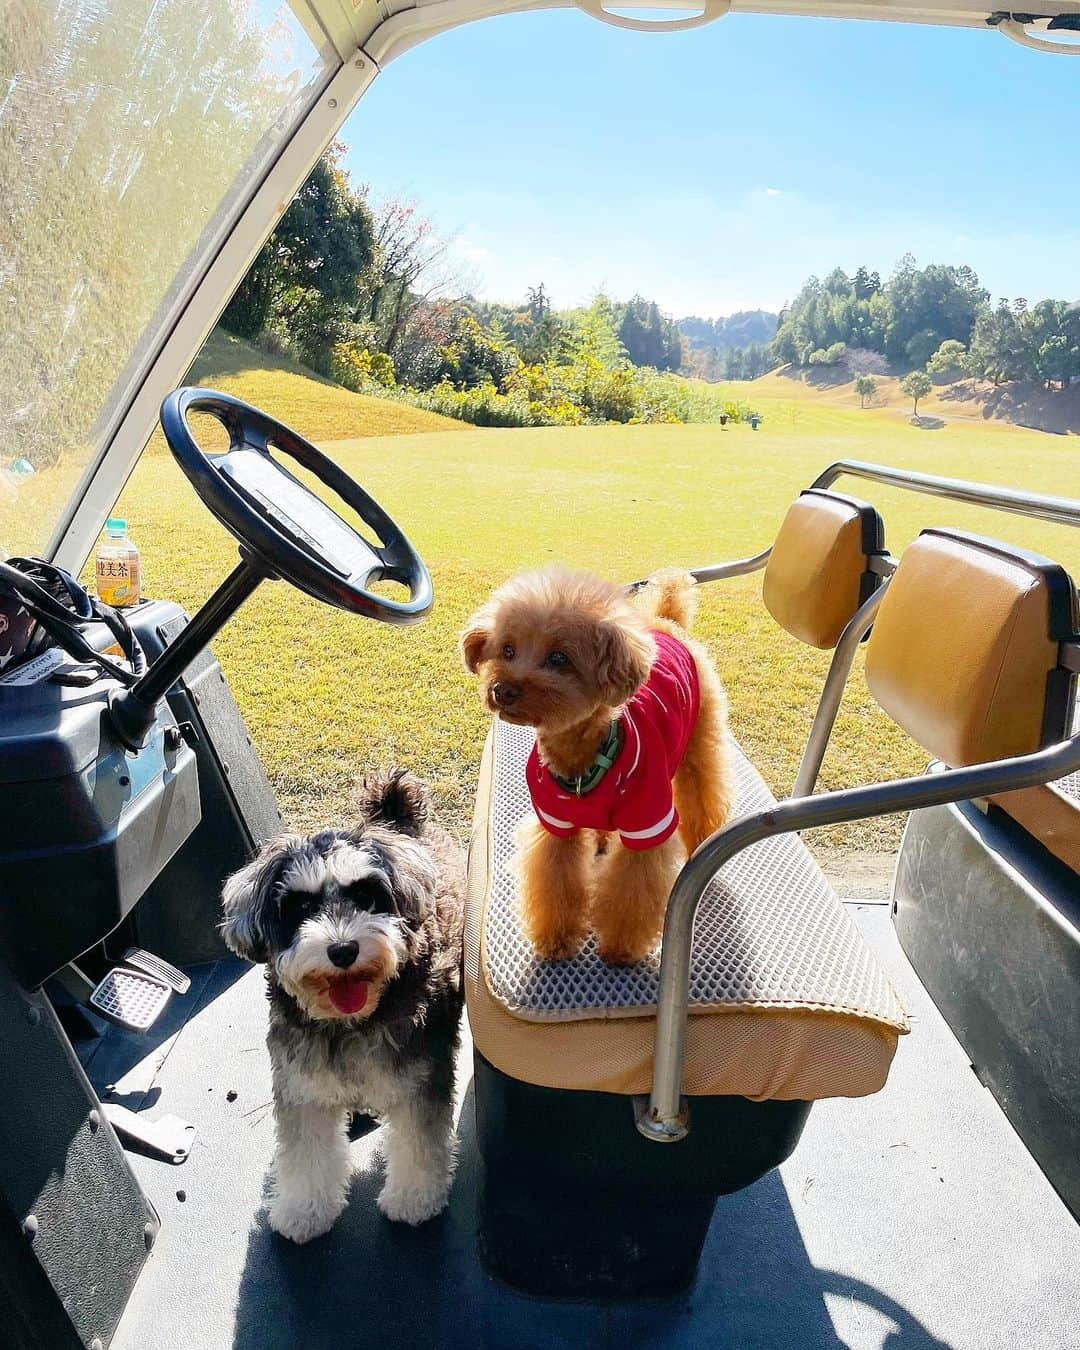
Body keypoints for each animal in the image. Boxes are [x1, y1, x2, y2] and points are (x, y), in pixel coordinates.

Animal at [221, 777, 467, 1236]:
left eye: (368, 896)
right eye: (301, 906)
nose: (342, 949)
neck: (350, 1022)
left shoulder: (419, 1081)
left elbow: (418, 1144)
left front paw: (414, 1199)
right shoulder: (303, 1086)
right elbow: (306, 1154)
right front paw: (304, 1209)